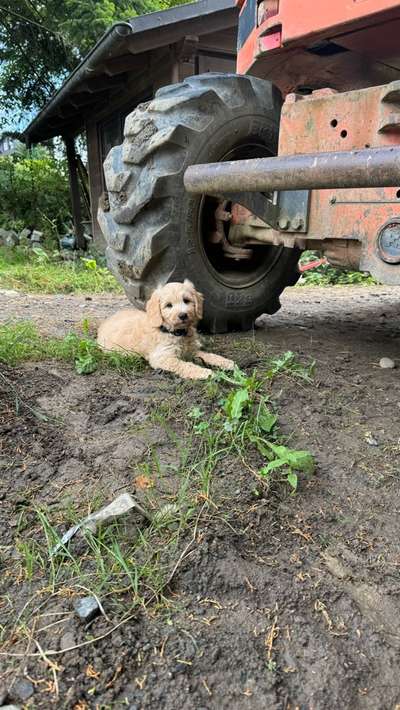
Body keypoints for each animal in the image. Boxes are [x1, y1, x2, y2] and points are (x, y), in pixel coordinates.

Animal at [97, 280, 234, 382]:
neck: (176, 332)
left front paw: (226, 362)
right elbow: (184, 365)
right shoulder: (162, 357)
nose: (183, 315)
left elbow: (208, 355)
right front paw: (204, 372)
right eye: (168, 305)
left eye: (186, 300)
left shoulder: (191, 351)